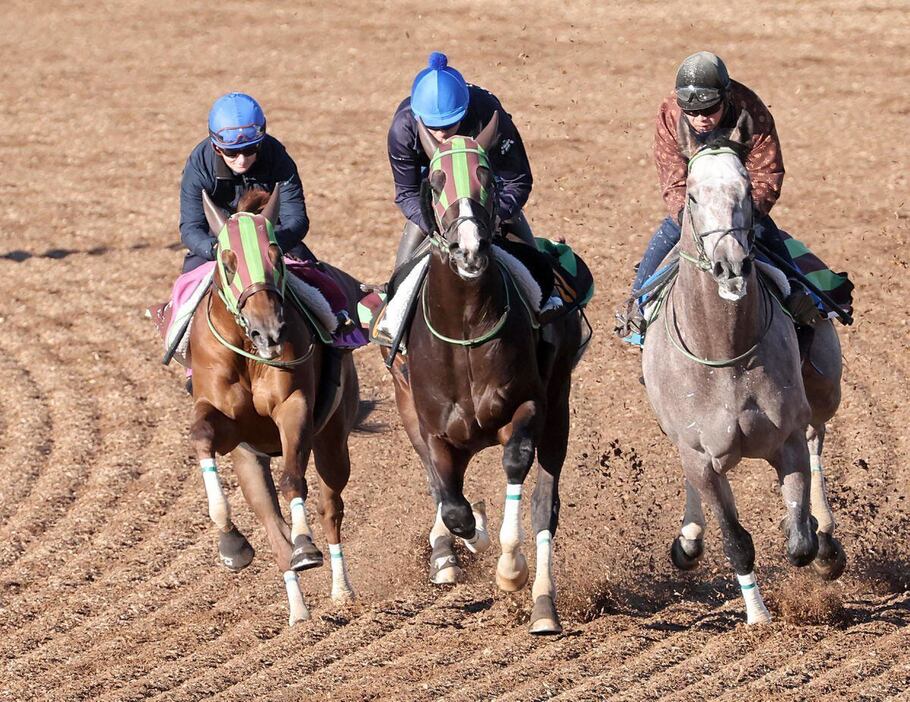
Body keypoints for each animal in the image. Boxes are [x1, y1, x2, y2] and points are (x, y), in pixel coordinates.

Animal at [188, 188, 360, 628]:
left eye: (277, 256)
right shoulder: (228, 428)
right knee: (271, 526)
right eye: (227, 261)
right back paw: (298, 612)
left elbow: (293, 481)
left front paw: (306, 546)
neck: (247, 352)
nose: (269, 332)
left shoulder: (293, 407)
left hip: (334, 440)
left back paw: (341, 590)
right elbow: (201, 434)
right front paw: (231, 542)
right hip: (250, 461)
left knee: (330, 508)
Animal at [382, 113, 584, 636]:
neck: (466, 328)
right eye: (435, 180)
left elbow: (515, 465)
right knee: (441, 488)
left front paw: (510, 568)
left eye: (488, 177)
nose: (469, 249)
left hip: (559, 410)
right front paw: (466, 537)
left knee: (544, 506)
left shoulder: (528, 407)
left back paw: (543, 607)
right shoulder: (432, 429)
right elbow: (452, 505)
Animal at [640, 122, 848, 628]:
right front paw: (757, 617)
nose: (731, 265)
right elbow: (735, 540)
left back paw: (827, 538)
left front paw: (814, 540)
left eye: (747, 189)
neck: (726, 353)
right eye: (692, 195)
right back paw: (689, 540)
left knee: (817, 435)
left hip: (824, 389)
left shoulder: (785, 438)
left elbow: (799, 543)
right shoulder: (698, 453)